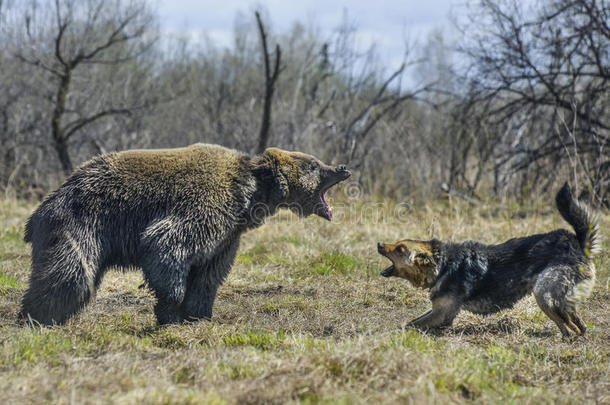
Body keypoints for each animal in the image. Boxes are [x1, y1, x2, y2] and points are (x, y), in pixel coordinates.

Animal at [20, 144, 352, 324]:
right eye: (313, 165)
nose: (342, 167)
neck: (250, 196)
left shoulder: (228, 236)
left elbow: (208, 276)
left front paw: (200, 314)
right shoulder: (206, 205)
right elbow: (165, 243)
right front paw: (169, 310)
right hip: (81, 223)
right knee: (71, 275)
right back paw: (38, 317)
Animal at [378, 181, 596, 336]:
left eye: (400, 249)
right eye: (397, 244)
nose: (379, 244)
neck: (443, 265)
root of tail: (576, 242)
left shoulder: (442, 314)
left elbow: (409, 325)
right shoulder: (438, 310)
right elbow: (412, 321)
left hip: (543, 294)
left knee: (569, 327)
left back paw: (567, 337)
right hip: (558, 298)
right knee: (577, 323)